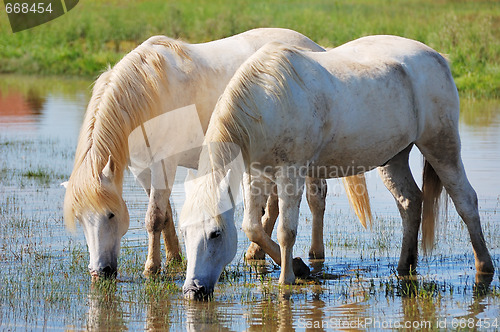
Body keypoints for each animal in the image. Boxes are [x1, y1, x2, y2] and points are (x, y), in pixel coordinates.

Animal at [62, 27, 370, 278]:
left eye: (111, 215)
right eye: (80, 219)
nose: (100, 272)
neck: (149, 90)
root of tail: (318, 50)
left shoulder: (164, 162)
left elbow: (154, 218)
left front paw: (152, 268)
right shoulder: (141, 168)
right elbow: (166, 215)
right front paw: (174, 258)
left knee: (315, 199)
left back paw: (313, 256)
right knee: (272, 206)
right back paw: (257, 254)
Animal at [180, 35, 492, 298]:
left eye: (215, 234)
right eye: (185, 232)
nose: (193, 290)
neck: (267, 102)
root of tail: (438, 57)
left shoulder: (291, 173)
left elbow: (285, 231)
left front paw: (287, 280)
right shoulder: (254, 174)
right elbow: (252, 227)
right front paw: (300, 266)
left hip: (440, 145)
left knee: (465, 201)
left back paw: (484, 267)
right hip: (395, 157)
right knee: (410, 201)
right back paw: (405, 266)